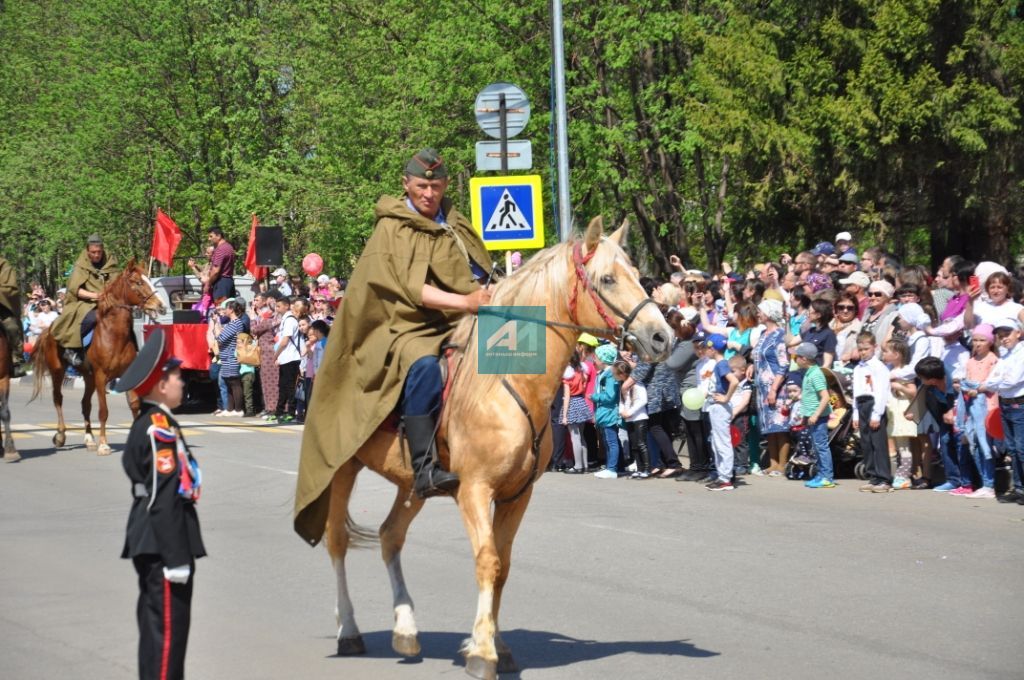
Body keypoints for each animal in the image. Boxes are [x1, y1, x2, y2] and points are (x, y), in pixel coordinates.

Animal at [30, 260, 163, 456]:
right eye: (138, 282)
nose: (161, 306)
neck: (114, 335)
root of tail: (49, 329)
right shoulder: (101, 377)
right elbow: (103, 411)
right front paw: (103, 445)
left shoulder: (126, 375)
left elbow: (134, 405)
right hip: (58, 371)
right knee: (58, 398)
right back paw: (61, 435)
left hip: (88, 376)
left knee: (85, 404)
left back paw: (89, 439)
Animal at [321, 218, 671, 680]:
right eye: (608, 279)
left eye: (637, 273)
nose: (663, 336)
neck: (511, 380)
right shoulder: (474, 489)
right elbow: (487, 561)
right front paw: (482, 653)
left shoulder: (516, 495)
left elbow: (503, 566)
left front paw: (498, 646)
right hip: (341, 469)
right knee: (337, 542)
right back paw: (348, 631)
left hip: (411, 483)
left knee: (390, 536)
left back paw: (406, 629)